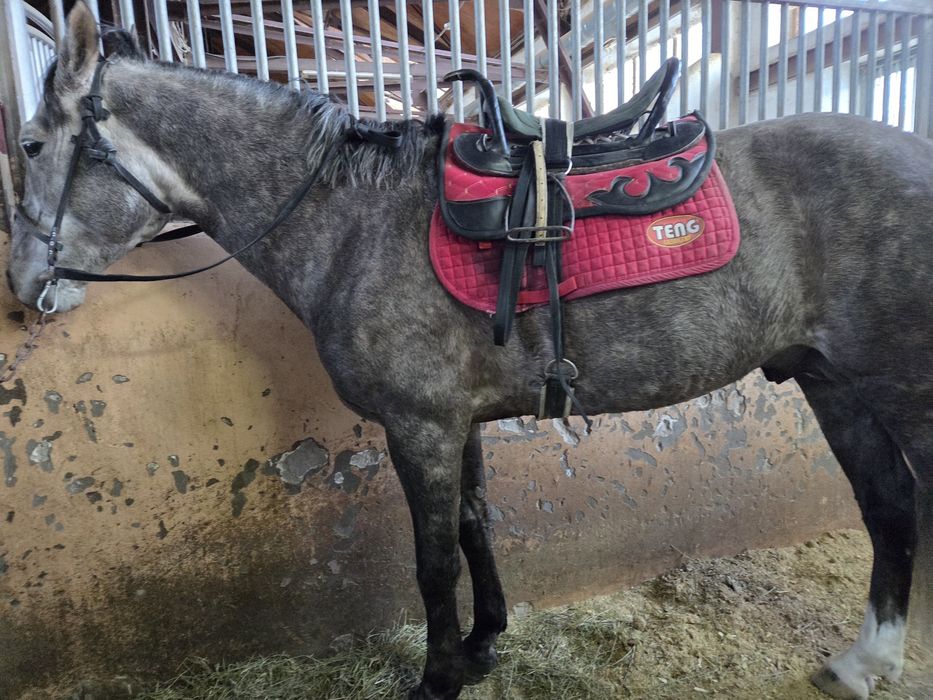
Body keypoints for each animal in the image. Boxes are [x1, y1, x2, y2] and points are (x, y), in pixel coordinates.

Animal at [7, 4, 933, 698]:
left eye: (29, 145)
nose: (22, 282)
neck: (354, 223)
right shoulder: (463, 421)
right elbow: (477, 528)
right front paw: (485, 644)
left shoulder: (419, 426)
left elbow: (432, 560)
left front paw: (438, 677)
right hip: (831, 383)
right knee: (886, 505)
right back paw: (862, 663)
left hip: (900, 388)